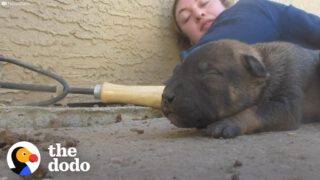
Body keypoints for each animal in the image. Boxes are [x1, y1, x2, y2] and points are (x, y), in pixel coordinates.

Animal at [162, 39, 320, 138]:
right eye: (176, 71)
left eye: (210, 74)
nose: (165, 96)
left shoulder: (285, 104)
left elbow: (253, 111)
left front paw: (227, 123)